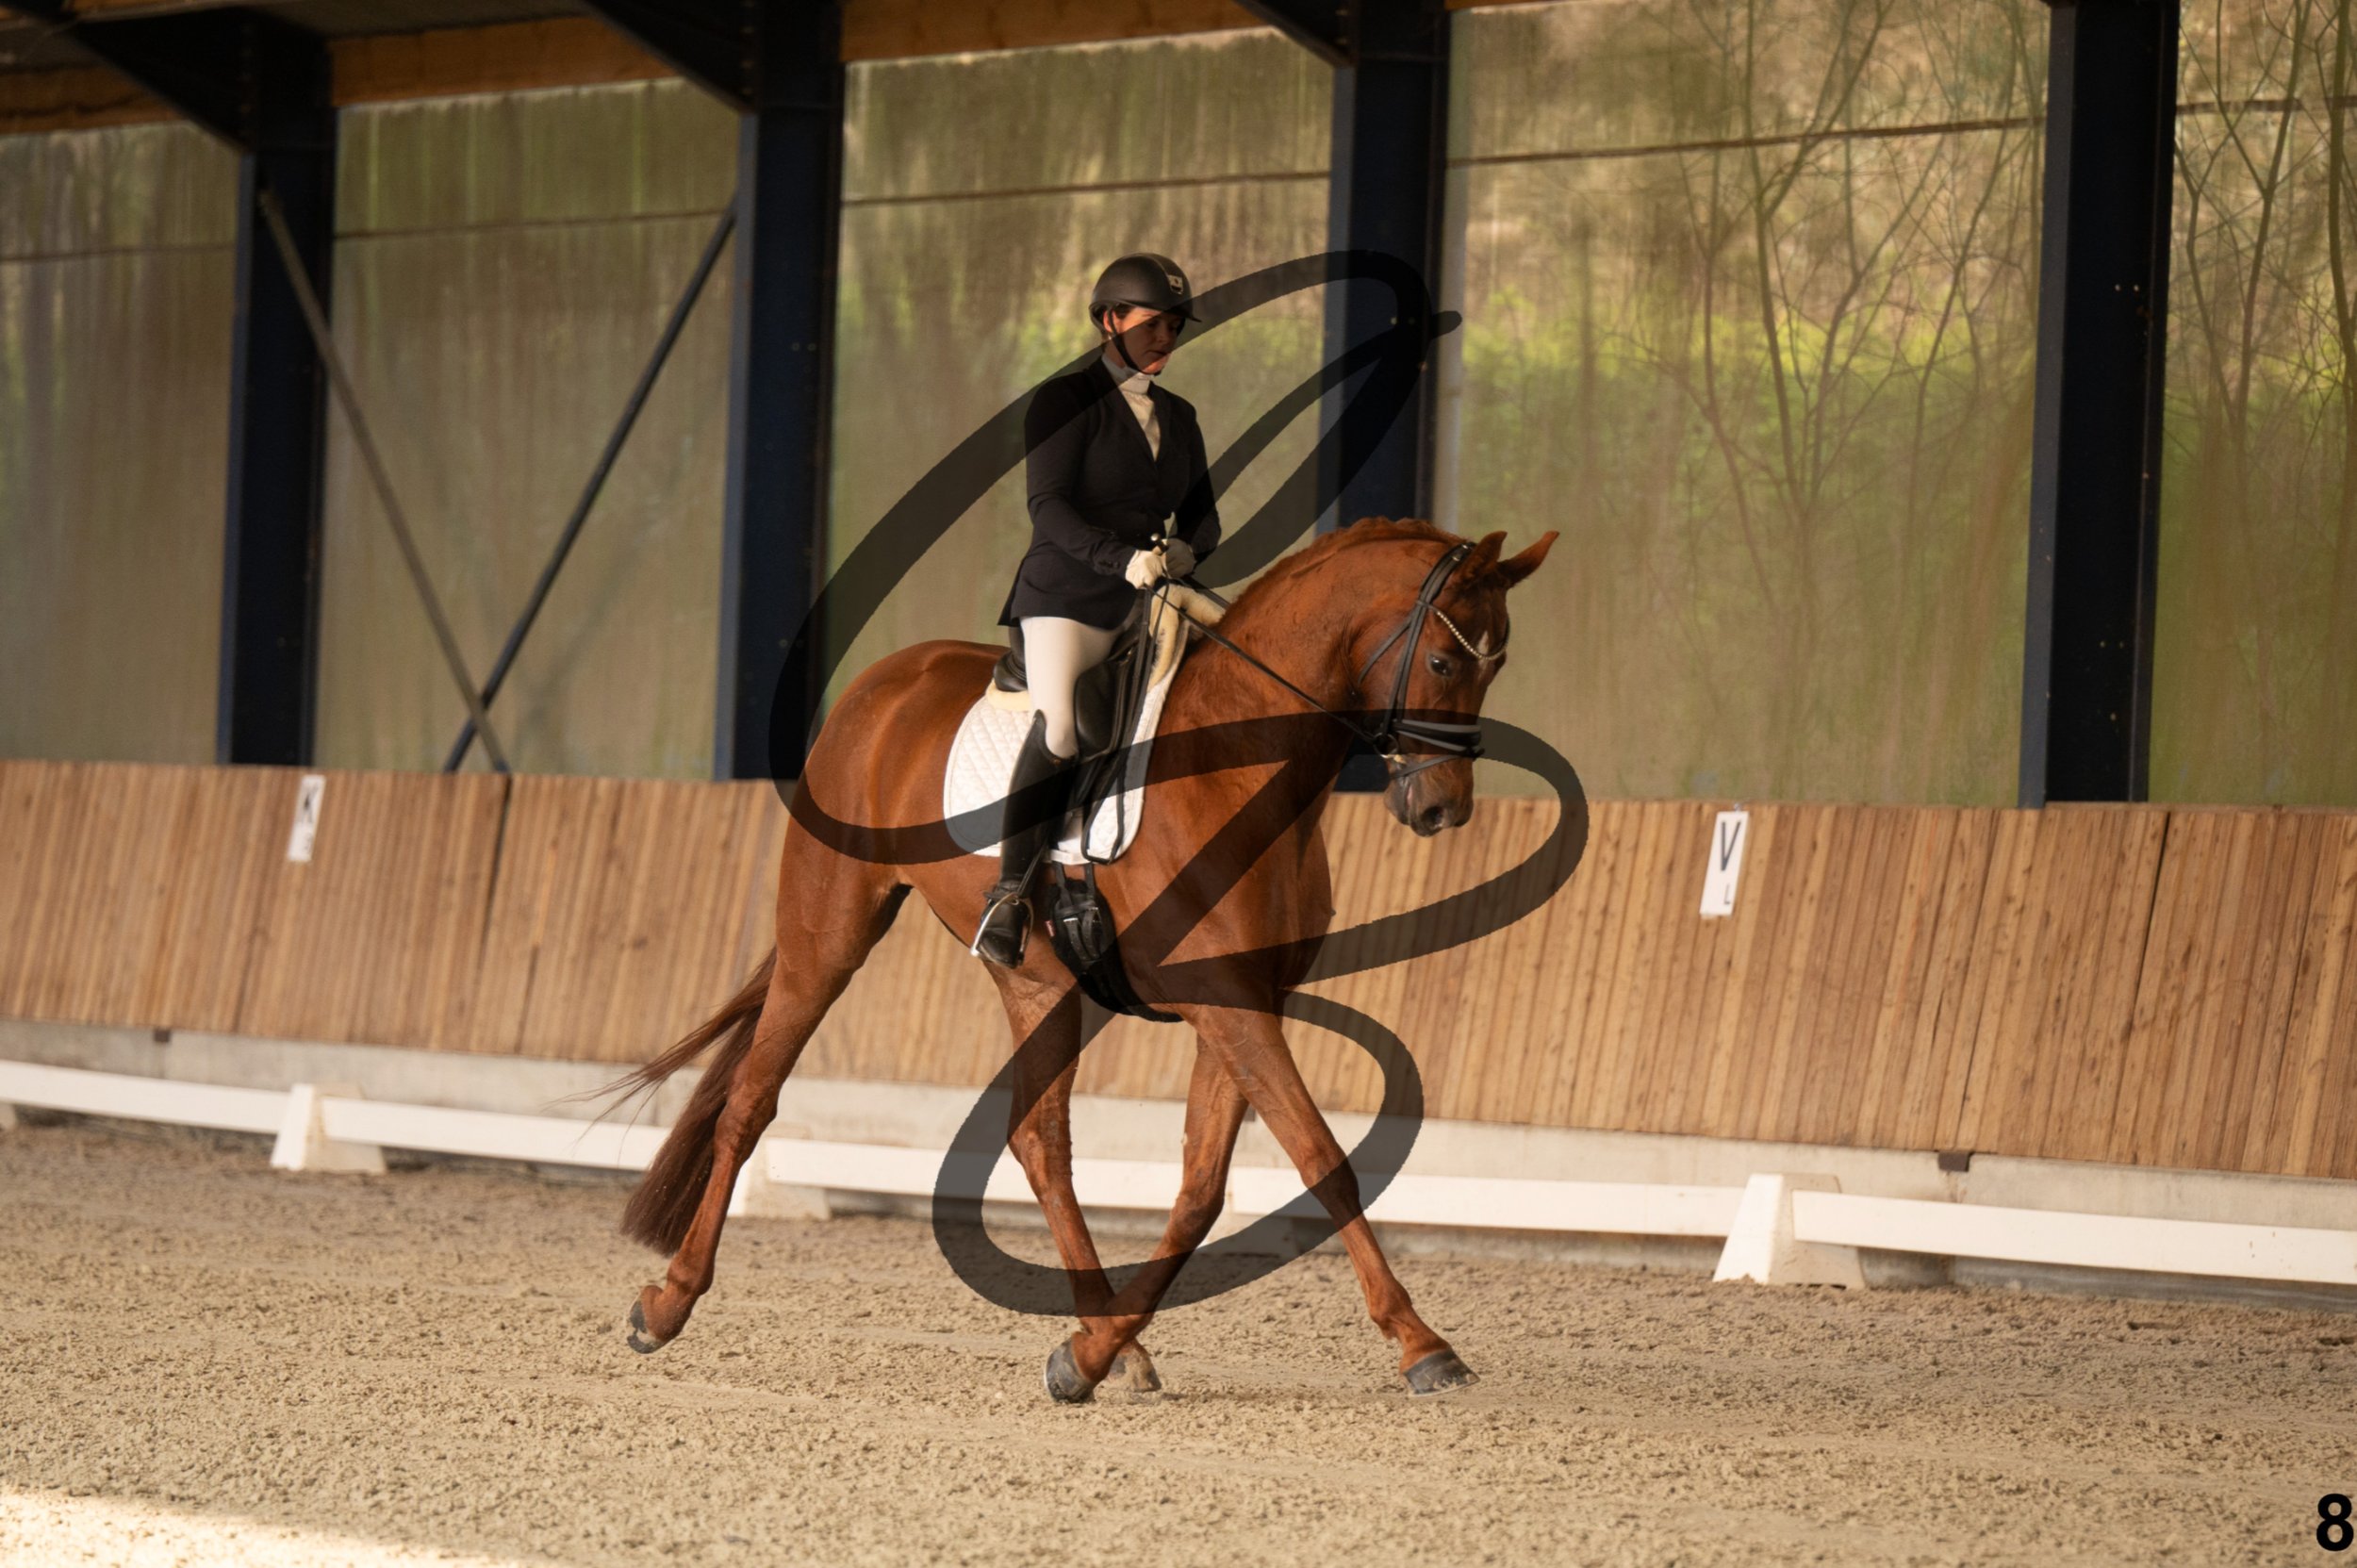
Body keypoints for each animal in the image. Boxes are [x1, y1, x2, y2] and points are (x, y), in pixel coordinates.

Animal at [607, 515, 1557, 1401]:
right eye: (1444, 661)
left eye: (1499, 664)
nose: (1440, 809)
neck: (1234, 761)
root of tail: (880, 684)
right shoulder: (1228, 1002)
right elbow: (1323, 1158)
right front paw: (1423, 1343)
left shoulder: (1240, 1001)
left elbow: (1200, 1190)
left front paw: (1090, 1354)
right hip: (827, 938)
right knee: (751, 1102)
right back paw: (666, 1303)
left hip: (1036, 979)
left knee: (1040, 1142)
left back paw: (1109, 1336)